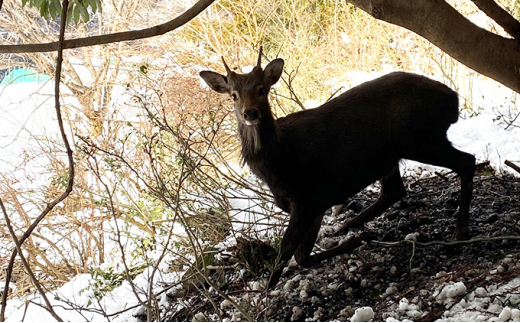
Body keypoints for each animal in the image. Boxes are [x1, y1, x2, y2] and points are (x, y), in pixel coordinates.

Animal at [199, 47, 476, 288]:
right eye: (233, 95)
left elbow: (287, 251)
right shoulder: (316, 203)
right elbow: (302, 256)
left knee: (467, 161)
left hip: (419, 138)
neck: (279, 161)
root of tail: (454, 99)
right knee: (394, 190)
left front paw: (266, 293)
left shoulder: (307, 198)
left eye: (262, 89)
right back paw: (349, 227)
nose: (250, 113)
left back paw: (460, 232)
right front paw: (355, 240)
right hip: (392, 154)